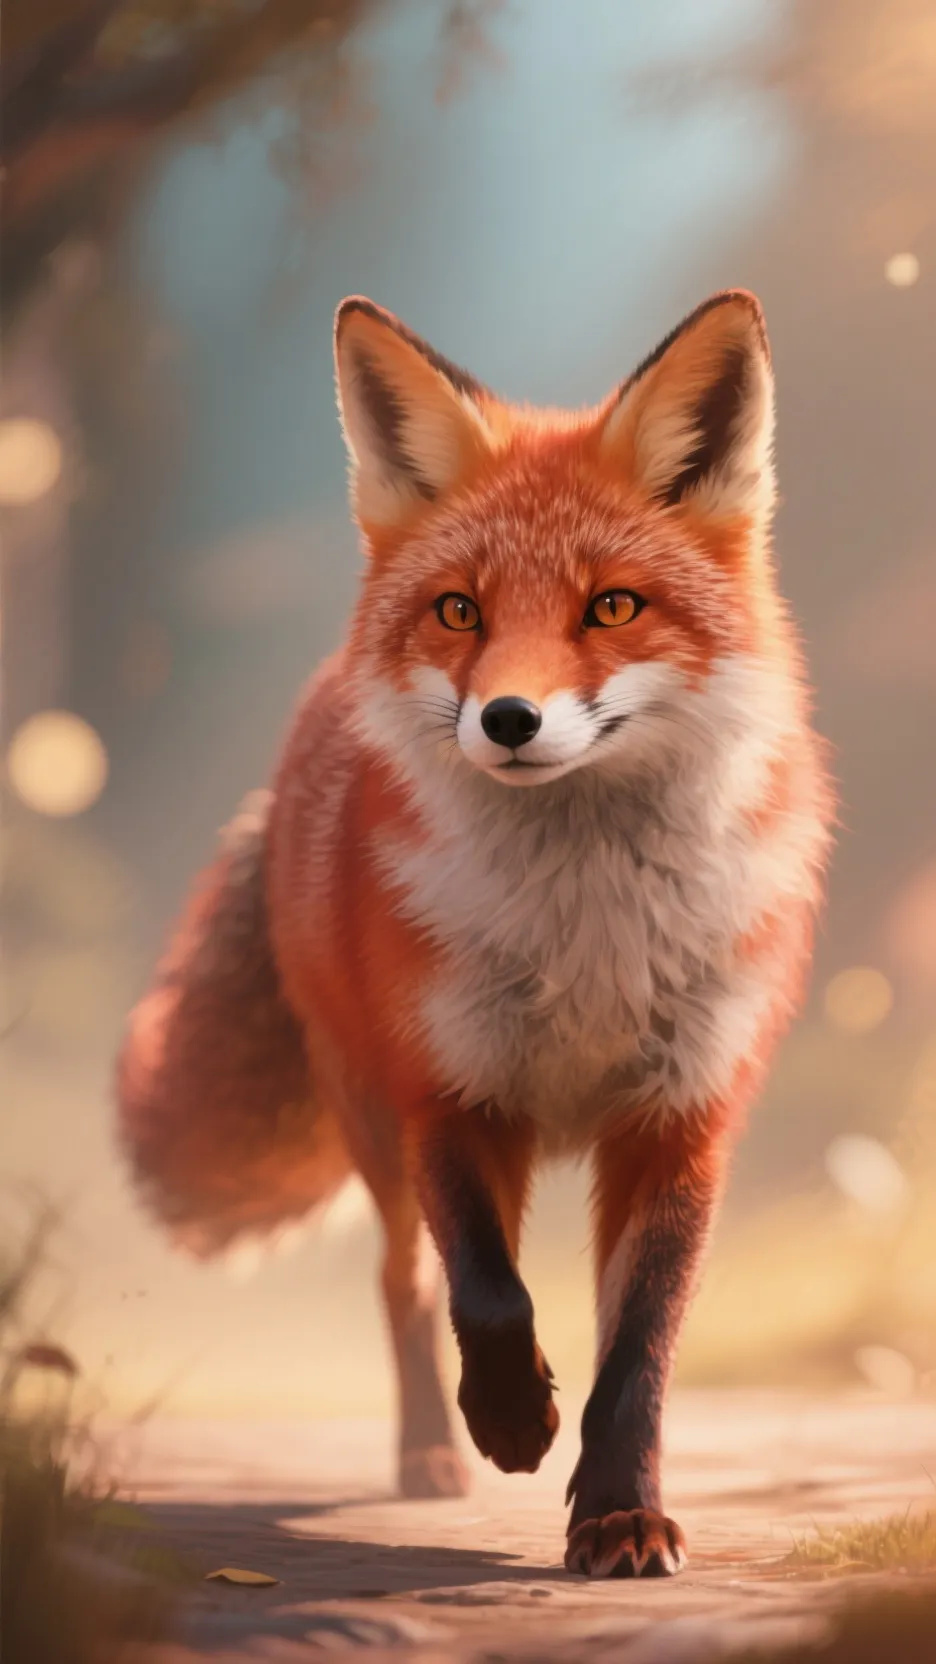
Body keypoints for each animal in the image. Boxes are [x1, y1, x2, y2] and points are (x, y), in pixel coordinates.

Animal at [117, 289, 833, 1578]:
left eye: (612, 605)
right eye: (461, 610)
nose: (507, 718)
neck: (587, 937)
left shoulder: (681, 1117)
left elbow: (637, 1348)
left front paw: (619, 1513)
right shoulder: (446, 1090)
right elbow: (489, 1294)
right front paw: (510, 1419)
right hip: (367, 1118)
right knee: (402, 1282)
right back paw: (430, 1454)